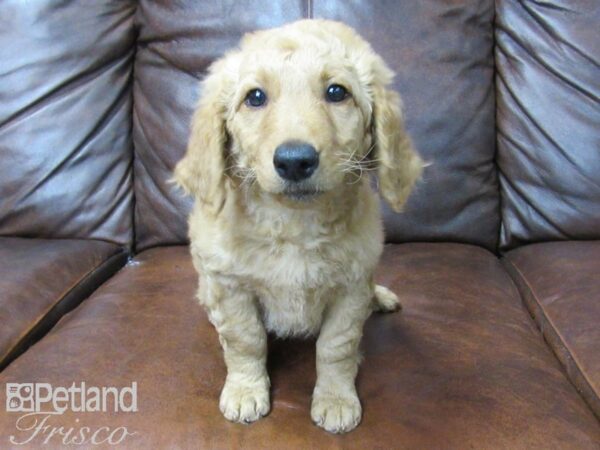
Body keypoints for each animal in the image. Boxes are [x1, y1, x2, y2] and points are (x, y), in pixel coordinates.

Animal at [173, 19, 422, 434]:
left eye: (337, 92)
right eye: (255, 97)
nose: (294, 161)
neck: (294, 224)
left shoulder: (352, 288)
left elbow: (336, 347)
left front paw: (336, 399)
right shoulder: (230, 286)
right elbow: (245, 340)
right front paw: (245, 391)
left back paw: (381, 297)